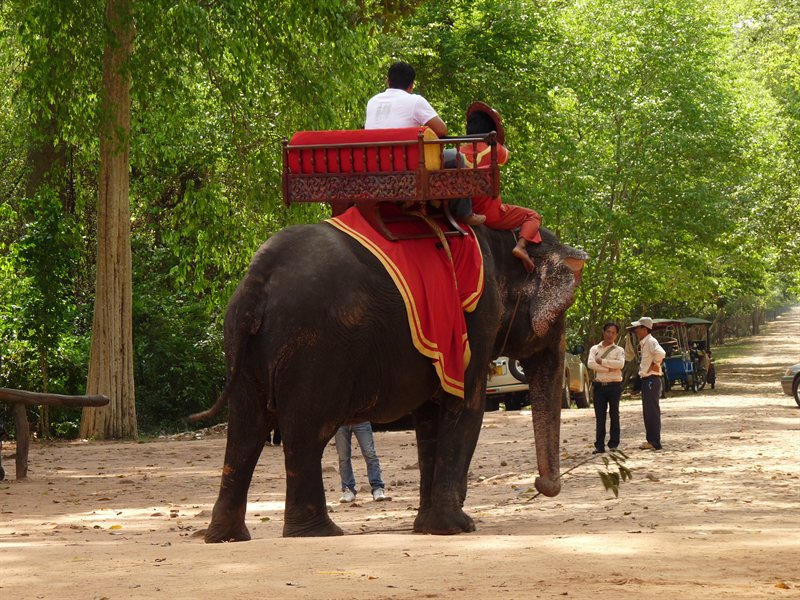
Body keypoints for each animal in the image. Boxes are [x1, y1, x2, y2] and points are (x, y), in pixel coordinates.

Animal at [194, 221, 587, 541]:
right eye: (564, 310)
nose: (541, 485)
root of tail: (258, 278)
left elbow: (430, 419)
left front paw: (427, 527)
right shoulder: (475, 320)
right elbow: (465, 406)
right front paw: (457, 527)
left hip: (243, 343)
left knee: (246, 431)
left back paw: (227, 536)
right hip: (316, 349)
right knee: (304, 434)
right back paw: (318, 533)